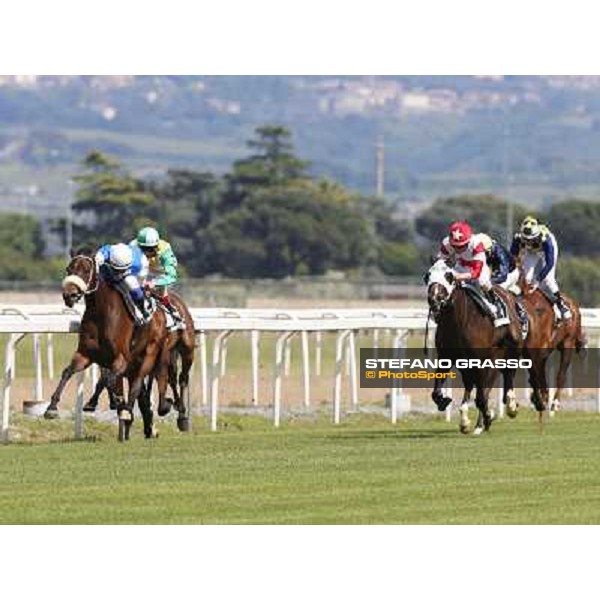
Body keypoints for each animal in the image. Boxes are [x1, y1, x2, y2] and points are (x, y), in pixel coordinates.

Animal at [44, 248, 171, 440]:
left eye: (86, 270)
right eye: (68, 269)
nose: (69, 295)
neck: (100, 313)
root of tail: (160, 312)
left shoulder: (121, 359)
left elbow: (108, 379)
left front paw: (116, 405)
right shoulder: (85, 355)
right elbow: (68, 372)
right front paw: (52, 408)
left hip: (149, 354)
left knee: (136, 384)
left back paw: (127, 412)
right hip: (132, 363)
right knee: (137, 390)